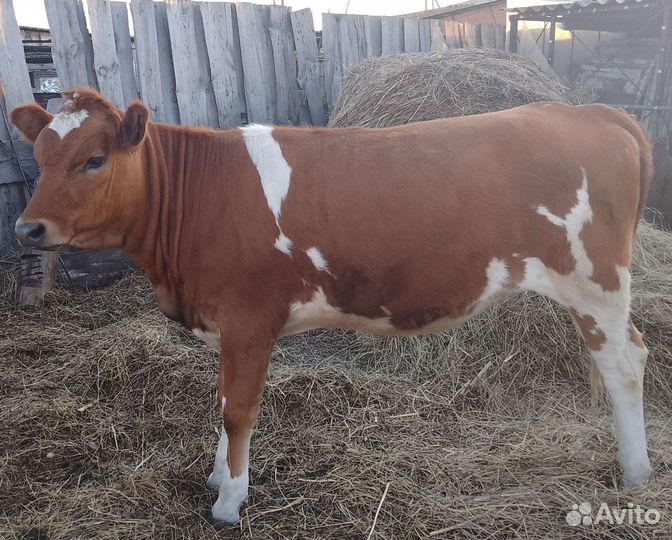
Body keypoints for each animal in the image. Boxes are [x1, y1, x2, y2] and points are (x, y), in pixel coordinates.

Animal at [11, 88, 653, 525]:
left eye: (94, 160)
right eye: (39, 158)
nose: (27, 228)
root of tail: (593, 111)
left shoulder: (249, 320)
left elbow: (238, 411)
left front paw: (229, 501)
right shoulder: (225, 326)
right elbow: (221, 402)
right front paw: (218, 476)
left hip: (595, 280)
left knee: (622, 365)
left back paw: (637, 473)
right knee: (631, 354)